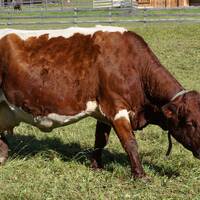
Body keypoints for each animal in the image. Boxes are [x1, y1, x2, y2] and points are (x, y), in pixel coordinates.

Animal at [0, 25, 200, 178]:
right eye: (191, 123)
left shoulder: (103, 112)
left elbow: (100, 140)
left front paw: (96, 167)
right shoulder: (116, 107)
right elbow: (130, 143)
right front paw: (140, 175)